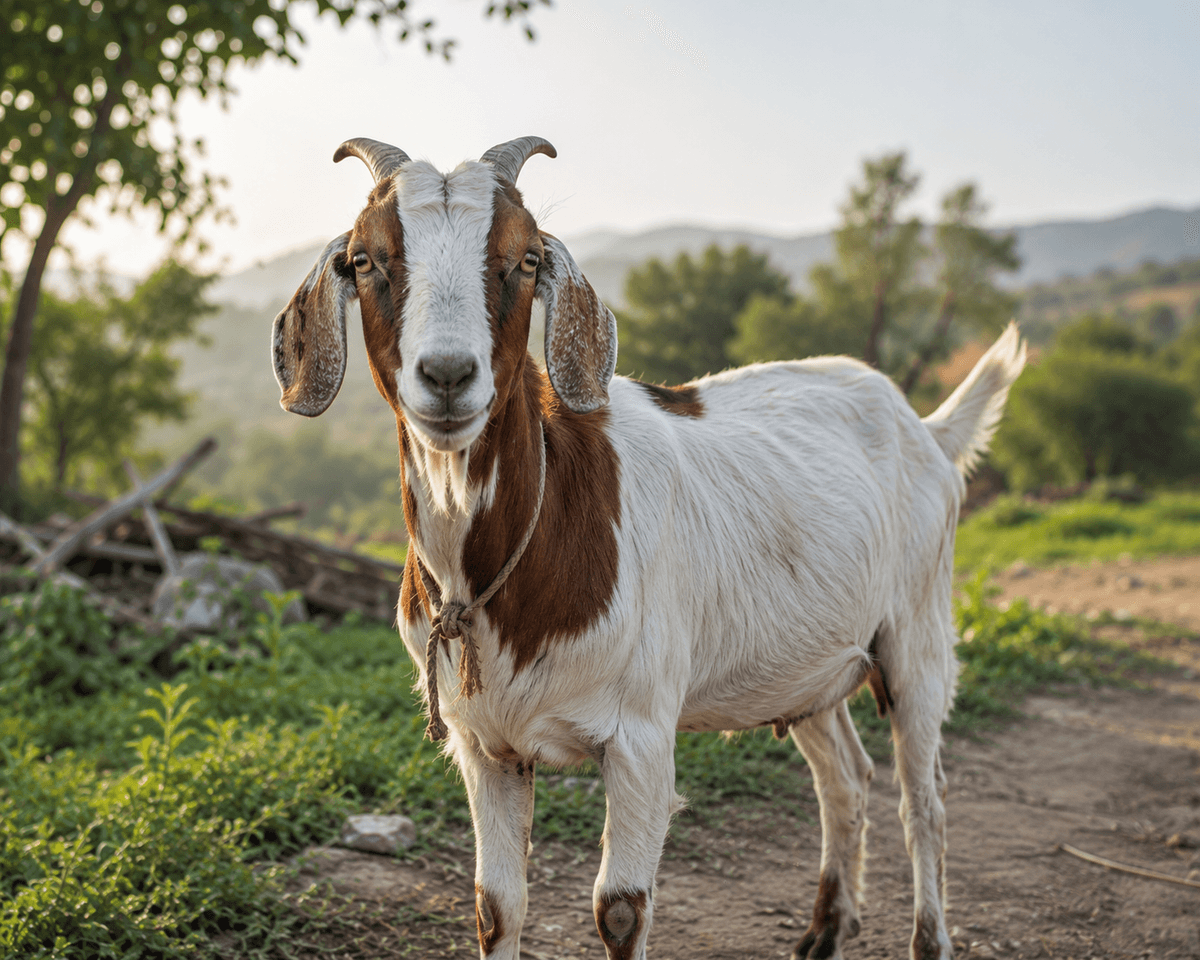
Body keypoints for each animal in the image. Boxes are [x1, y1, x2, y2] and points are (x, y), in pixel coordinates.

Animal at [271, 136, 1026, 960]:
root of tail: (924, 425)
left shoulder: (640, 736)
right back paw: (824, 931)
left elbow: (621, 909)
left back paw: (928, 936)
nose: (446, 375)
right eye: (365, 260)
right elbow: (495, 906)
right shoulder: (484, 746)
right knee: (846, 778)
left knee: (925, 799)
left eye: (525, 259)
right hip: (806, 661)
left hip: (917, 634)